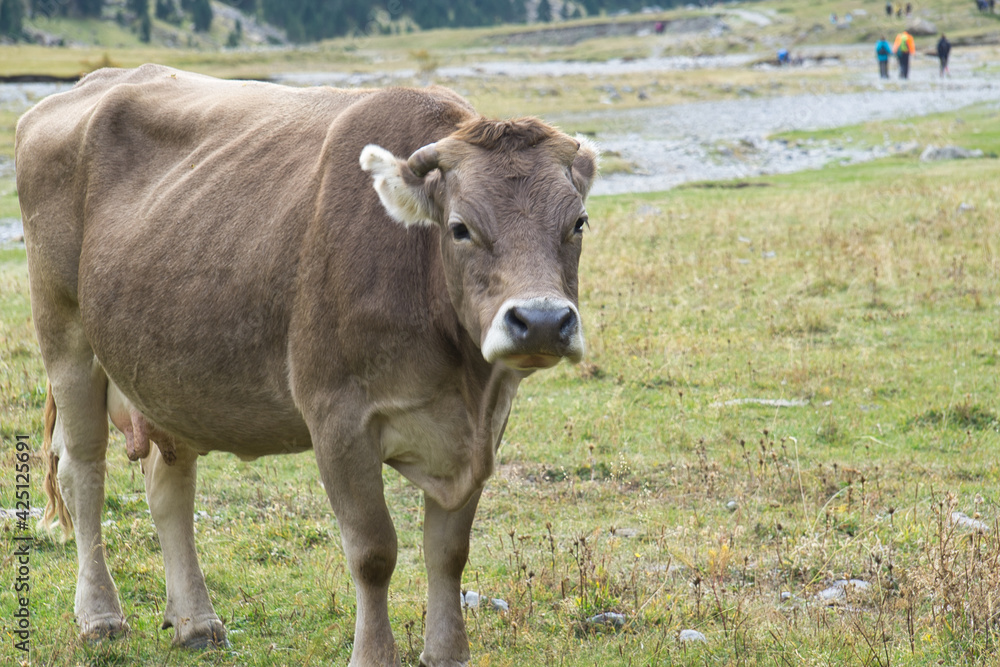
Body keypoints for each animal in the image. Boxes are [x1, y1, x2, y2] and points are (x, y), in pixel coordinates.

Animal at [15, 64, 592, 667]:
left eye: (578, 222)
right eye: (459, 227)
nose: (542, 321)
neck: (460, 379)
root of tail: (92, 83)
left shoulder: (481, 429)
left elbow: (449, 552)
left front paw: (447, 654)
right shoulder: (338, 416)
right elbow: (373, 552)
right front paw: (373, 655)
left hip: (167, 377)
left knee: (169, 488)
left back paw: (196, 623)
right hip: (66, 337)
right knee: (83, 470)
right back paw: (100, 616)